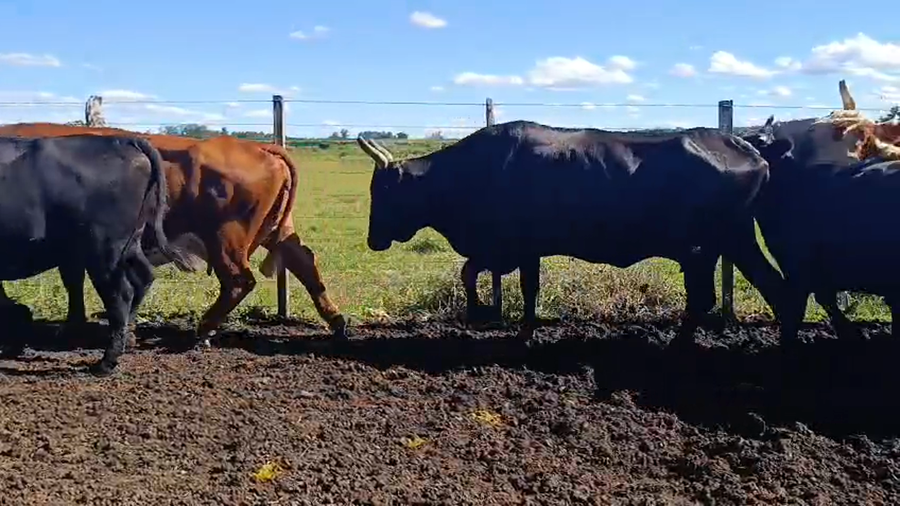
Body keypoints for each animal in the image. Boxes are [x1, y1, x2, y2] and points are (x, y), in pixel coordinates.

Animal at [0, 123, 347, 347]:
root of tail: (255, 145)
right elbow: (73, 283)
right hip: (275, 231)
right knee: (304, 263)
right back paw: (337, 322)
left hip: (225, 239)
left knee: (239, 281)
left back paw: (204, 328)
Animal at [0, 134, 190, 375]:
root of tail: (122, 140)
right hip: (127, 244)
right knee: (143, 278)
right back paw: (127, 338)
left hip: (103, 250)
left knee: (120, 294)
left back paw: (106, 362)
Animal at [356, 121, 786, 345]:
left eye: (382, 190)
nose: (372, 240)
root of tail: (742, 142)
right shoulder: (511, 250)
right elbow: (481, 275)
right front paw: (501, 319)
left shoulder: (515, 246)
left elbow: (498, 281)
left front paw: (492, 317)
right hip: (721, 244)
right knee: (752, 289)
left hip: (711, 244)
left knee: (726, 294)